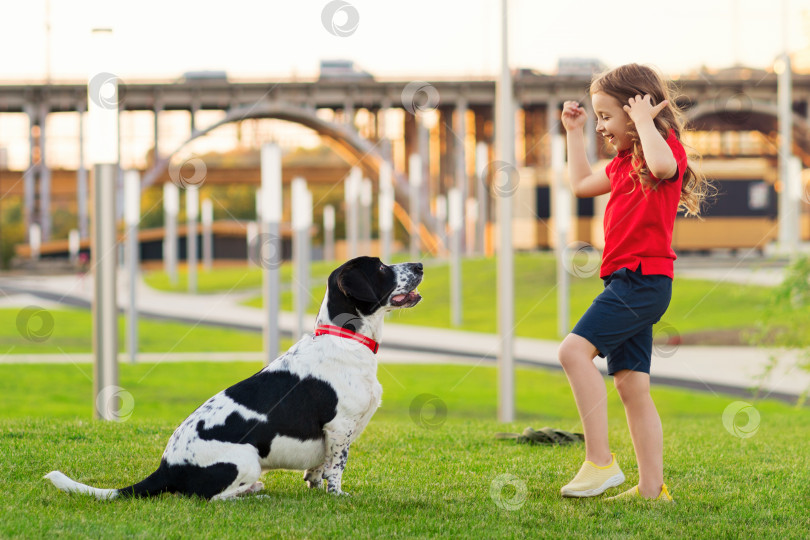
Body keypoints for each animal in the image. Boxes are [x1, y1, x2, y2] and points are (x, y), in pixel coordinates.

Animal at [45, 255, 422, 500]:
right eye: (381, 268)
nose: (420, 265)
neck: (345, 337)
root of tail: (166, 467)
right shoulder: (340, 427)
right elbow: (336, 469)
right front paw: (337, 496)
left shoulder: (332, 437)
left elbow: (318, 469)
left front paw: (316, 488)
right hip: (247, 460)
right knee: (212, 498)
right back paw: (253, 493)